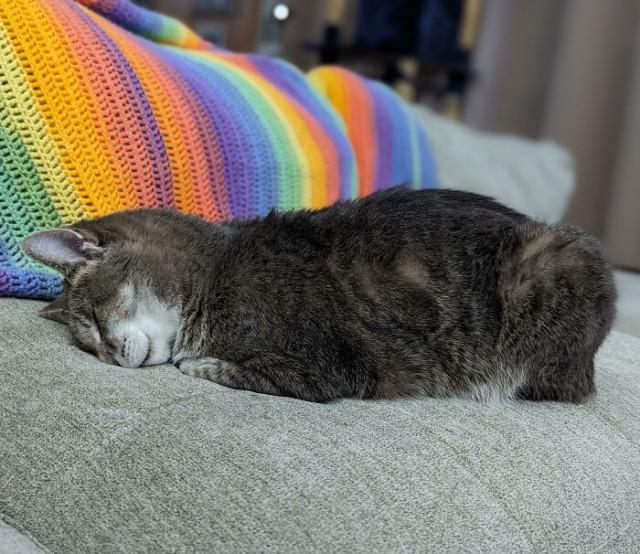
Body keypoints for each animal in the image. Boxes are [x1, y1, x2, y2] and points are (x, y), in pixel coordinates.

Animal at [22, 188, 616, 403]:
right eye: (87, 343)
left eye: (95, 320)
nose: (108, 356)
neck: (216, 268)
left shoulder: (331, 367)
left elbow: (238, 370)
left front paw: (199, 363)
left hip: (558, 262)